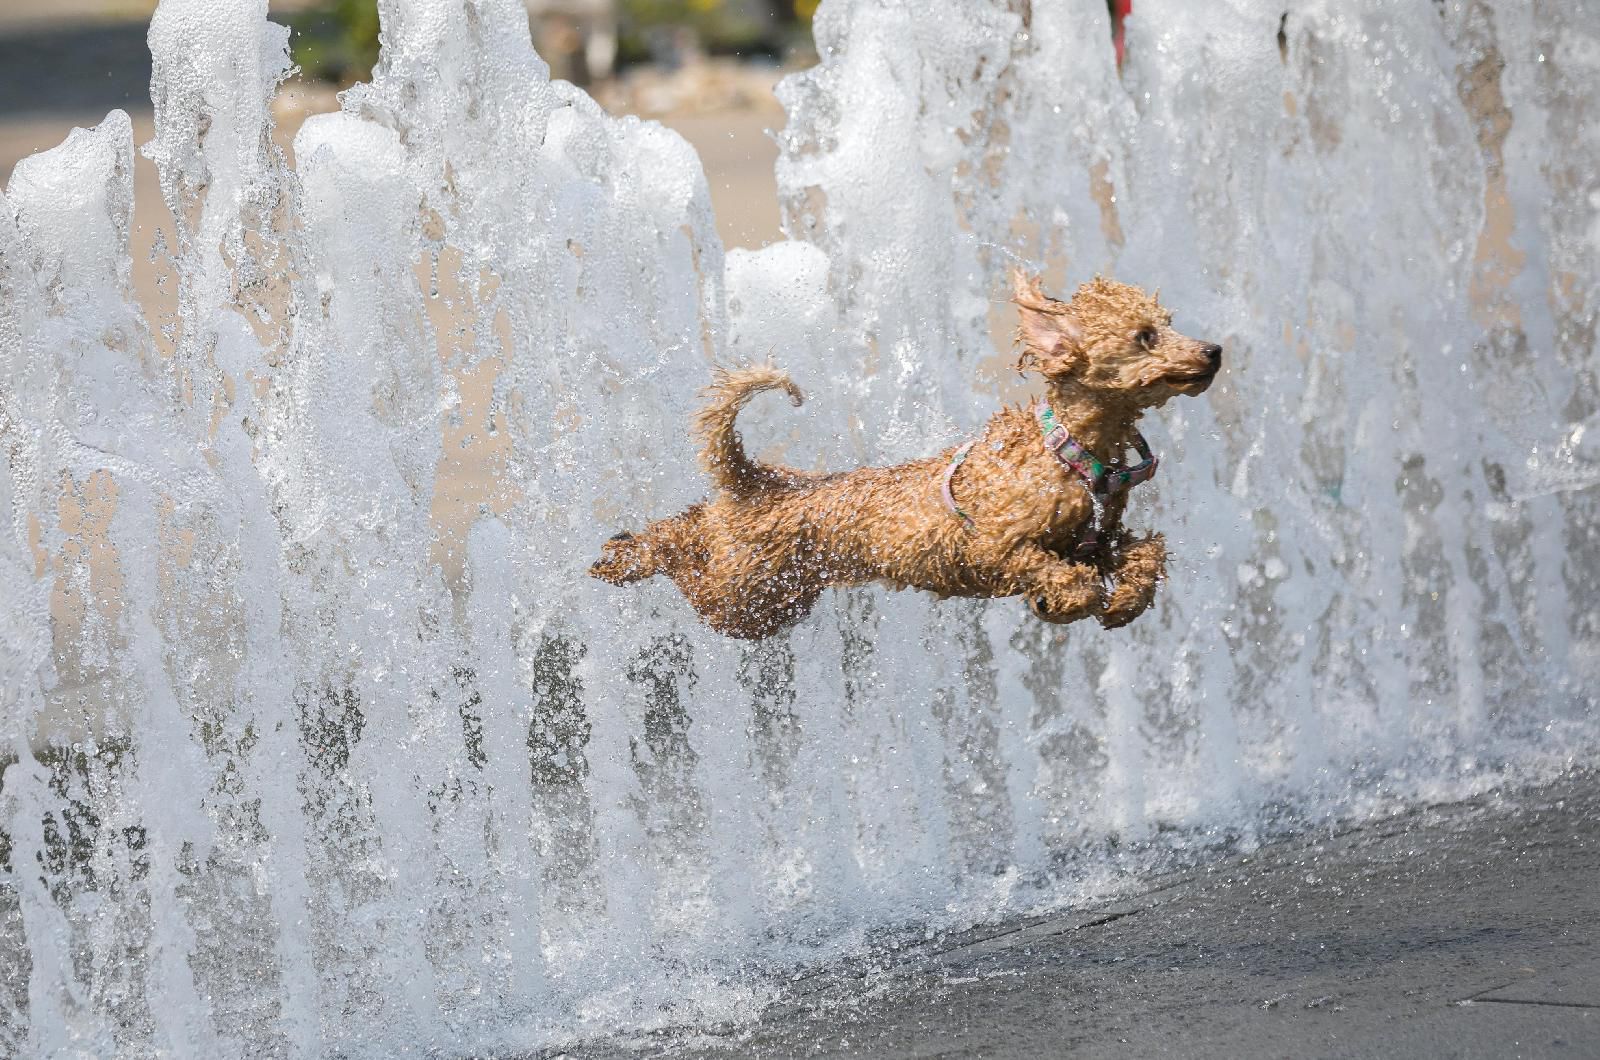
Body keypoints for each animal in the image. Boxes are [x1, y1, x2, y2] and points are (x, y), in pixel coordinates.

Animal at [595, 270, 1216, 643]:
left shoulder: (1097, 539)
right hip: (741, 598)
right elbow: (1051, 570)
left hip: (769, 592)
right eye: (1145, 337)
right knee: (680, 551)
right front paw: (1068, 600)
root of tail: (757, 481)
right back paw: (623, 559)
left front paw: (1125, 600)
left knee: (693, 521)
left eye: (1168, 324)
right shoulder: (995, 547)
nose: (1213, 351)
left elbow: (1145, 553)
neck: (1069, 453)